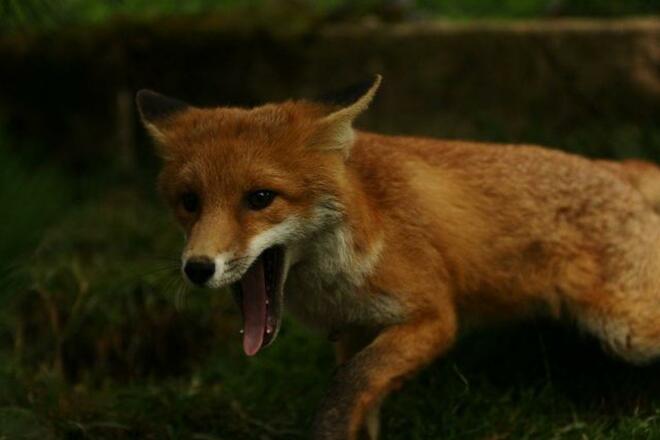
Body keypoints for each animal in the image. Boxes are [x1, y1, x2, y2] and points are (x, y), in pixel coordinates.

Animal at [136, 75, 660, 440]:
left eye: (260, 198)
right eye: (190, 202)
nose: (197, 268)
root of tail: (612, 167)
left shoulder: (433, 317)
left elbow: (348, 385)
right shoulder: (357, 331)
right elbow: (364, 400)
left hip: (628, 329)